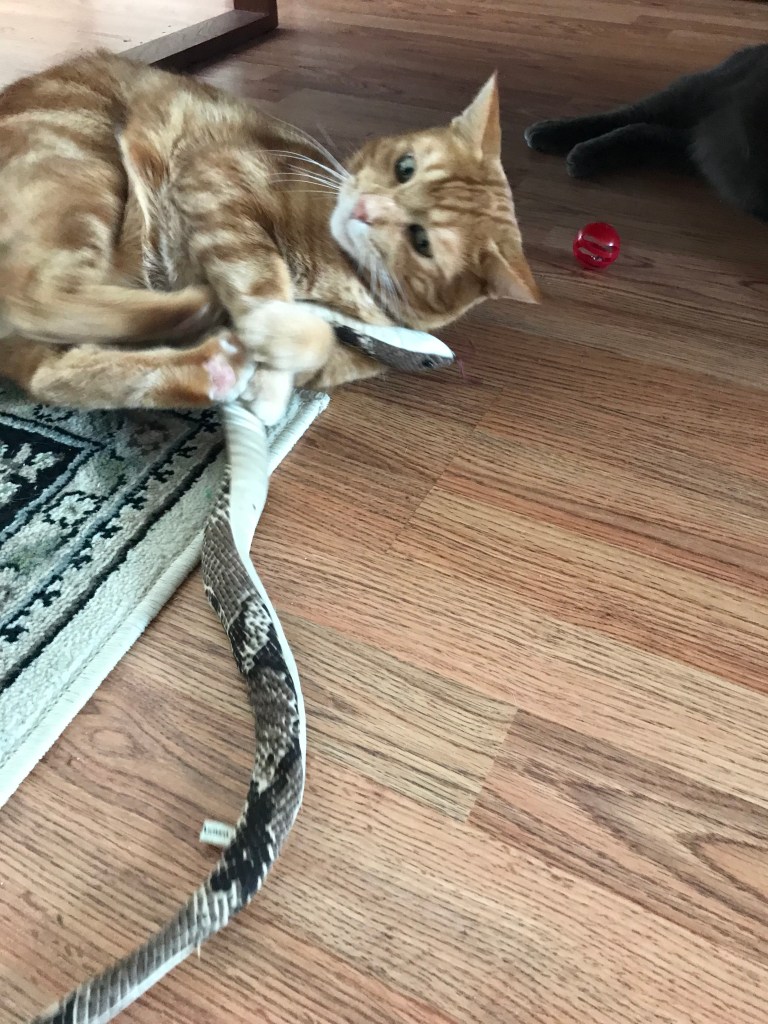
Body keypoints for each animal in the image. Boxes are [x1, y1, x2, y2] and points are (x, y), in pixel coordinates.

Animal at [0, 51, 539, 423]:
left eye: (421, 241)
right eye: (404, 167)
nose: (364, 208)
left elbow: (315, 352)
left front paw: (267, 380)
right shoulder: (218, 186)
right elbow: (267, 287)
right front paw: (273, 335)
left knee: (53, 373)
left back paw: (210, 366)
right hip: (82, 168)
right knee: (35, 296)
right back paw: (197, 308)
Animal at [524, 44, 768, 223]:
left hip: (693, 148)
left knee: (643, 131)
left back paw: (583, 154)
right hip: (695, 94)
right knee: (628, 116)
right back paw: (552, 134)